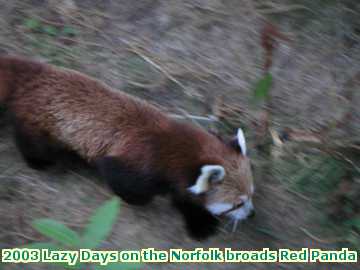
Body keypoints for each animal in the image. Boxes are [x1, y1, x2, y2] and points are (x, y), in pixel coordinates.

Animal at [0, 54, 255, 238]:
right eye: (237, 203)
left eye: (251, 194)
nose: (251, 214)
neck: (173, 146)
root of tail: (34, 71)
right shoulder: (137, 163)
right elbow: (123, 182)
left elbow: (184, 199)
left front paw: (201, 222)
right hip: (39, 123)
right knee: (33, 144)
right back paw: (43, 162)